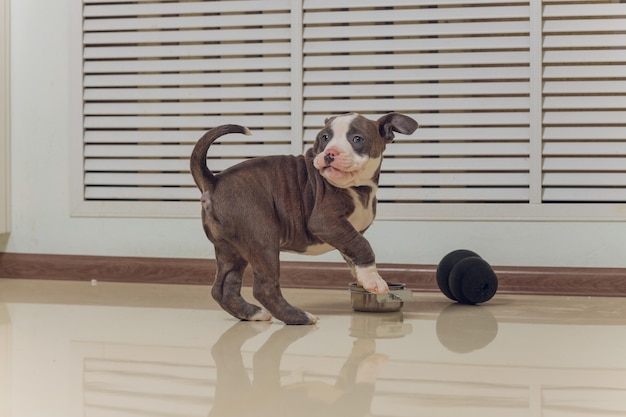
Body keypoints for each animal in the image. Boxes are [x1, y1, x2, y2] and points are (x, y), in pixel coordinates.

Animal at [189, 112, 414, 324]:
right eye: (325, 137)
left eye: (357, 139)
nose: (330, 153)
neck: (358, 186)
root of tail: (214, 181)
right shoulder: (326, 222)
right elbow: (363, 246)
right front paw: (374, 280)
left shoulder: (345, 234)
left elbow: (353, 251)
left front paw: (364, 278)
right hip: (262, 241)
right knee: (264, 288)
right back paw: (300, 317)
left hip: (231, 249)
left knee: (223, 288)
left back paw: (253, 314)